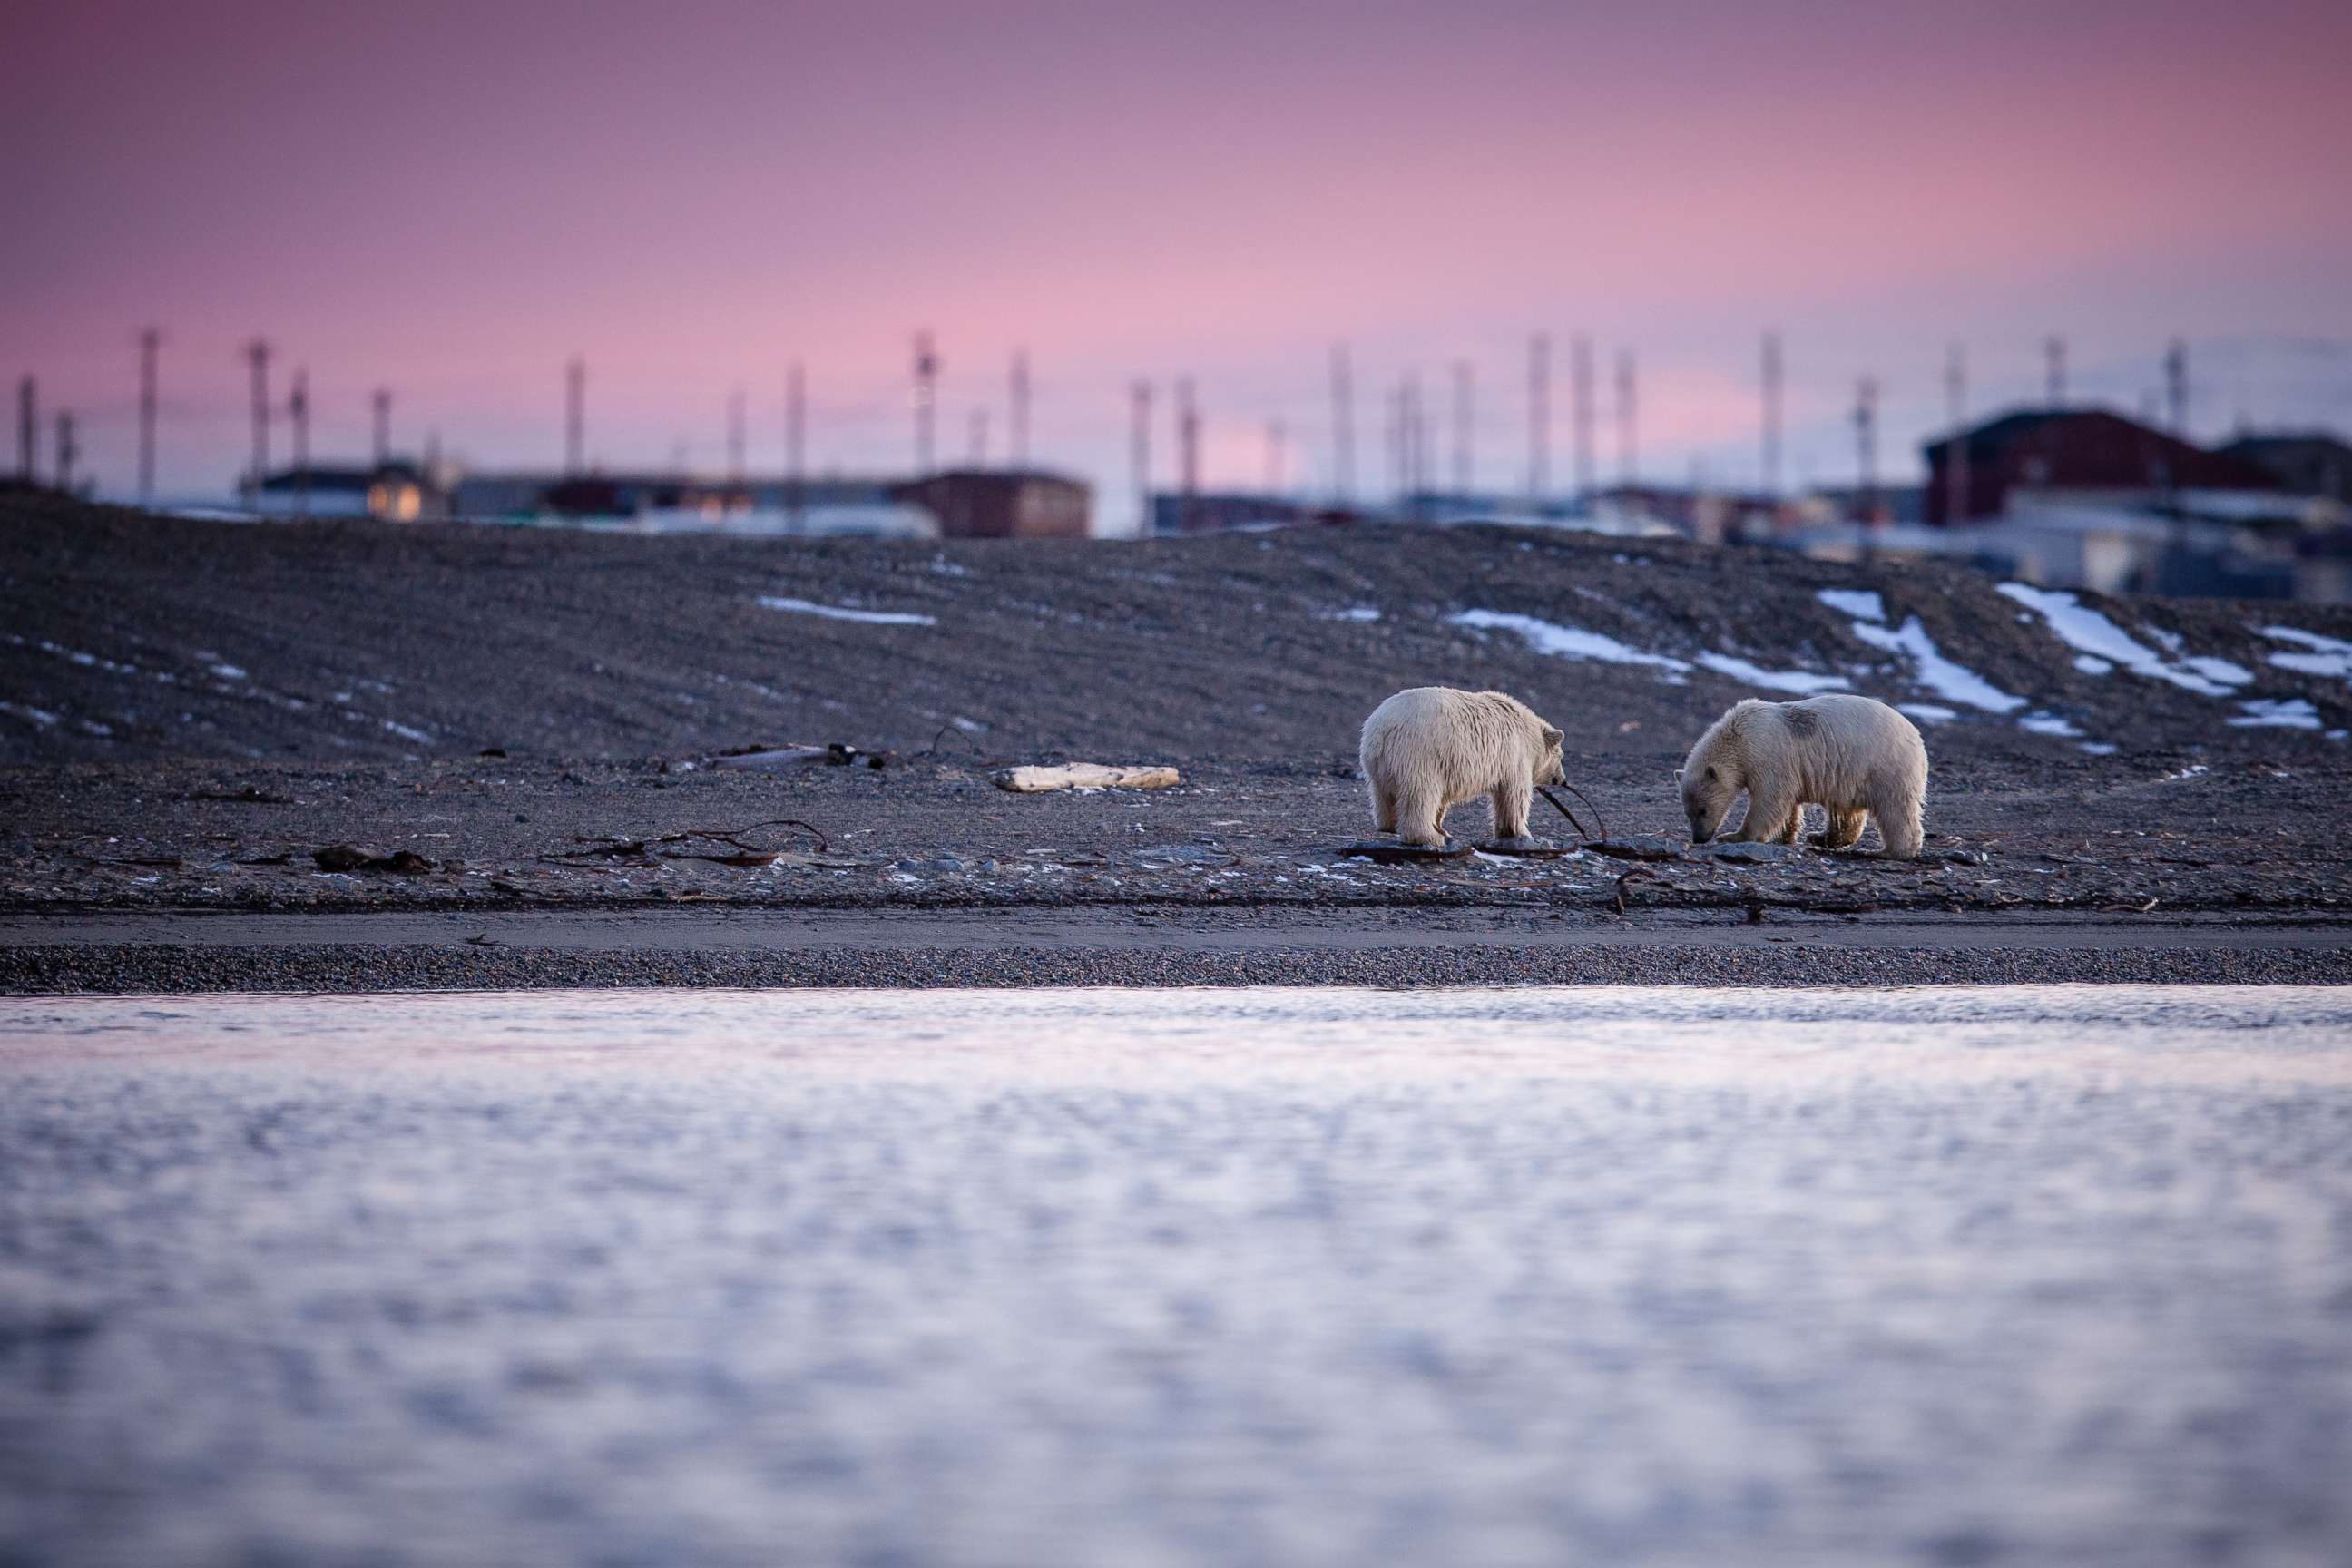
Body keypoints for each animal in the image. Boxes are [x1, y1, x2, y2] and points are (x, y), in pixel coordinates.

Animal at [1364, 686, 1562, 846]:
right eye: (1561, 756)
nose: (1561, 779)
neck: (1530, 734)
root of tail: (1381, 729)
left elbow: (1442, 799)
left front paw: (1441, 826)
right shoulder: (1514, 755)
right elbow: (1514, 795)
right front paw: (1521, 833)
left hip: (1380, 764)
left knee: (1383, 795)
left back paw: (1390, 825)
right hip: (1419, 754)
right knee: (1421, 794)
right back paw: (1428, 837)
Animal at [1683, 691, 1937, 860]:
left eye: (1702, 810)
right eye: (1687, 812)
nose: (1699, 838)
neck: (1738, 735)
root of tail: (1916, 736)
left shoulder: (1767, 754)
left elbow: (1770, 798)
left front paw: (1734, 836)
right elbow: (1786, 804)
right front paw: (1784, 837)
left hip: (1886, 765)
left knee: (1894, 808)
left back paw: (1889, 851)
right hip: (1849, 774)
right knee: (1845, 811)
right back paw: (1820, 837)